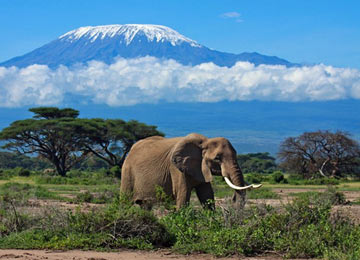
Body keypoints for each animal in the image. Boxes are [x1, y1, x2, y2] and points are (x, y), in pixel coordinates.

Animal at [121, 134, 262, 209]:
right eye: (217, 158)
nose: (232, 198)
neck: (205, 142)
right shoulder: (176, 168)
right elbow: (182, 195)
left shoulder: (201, 168)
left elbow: (207, 195)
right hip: (127, 171)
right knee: (125, 201)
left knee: (145, 205)